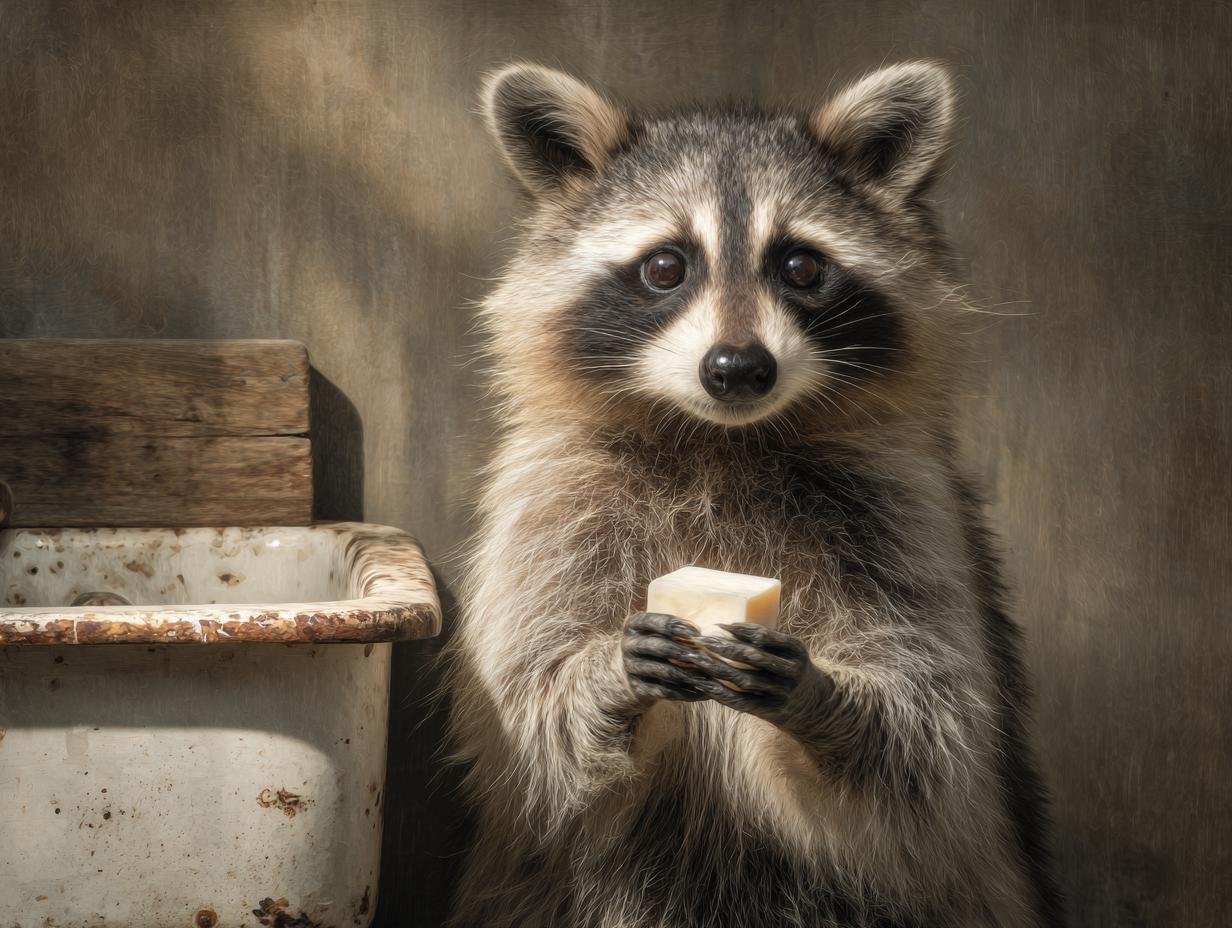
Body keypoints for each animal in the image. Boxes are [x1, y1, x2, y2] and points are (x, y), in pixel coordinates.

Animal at [447, 61, 1062, 928]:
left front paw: (825, 697)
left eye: (801, 267)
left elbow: (928, 749)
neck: (723, 439)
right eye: (665, 267)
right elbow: (531, 730)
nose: (738, 368)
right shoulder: (550, 504)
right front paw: (607, 677)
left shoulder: (905, 513)